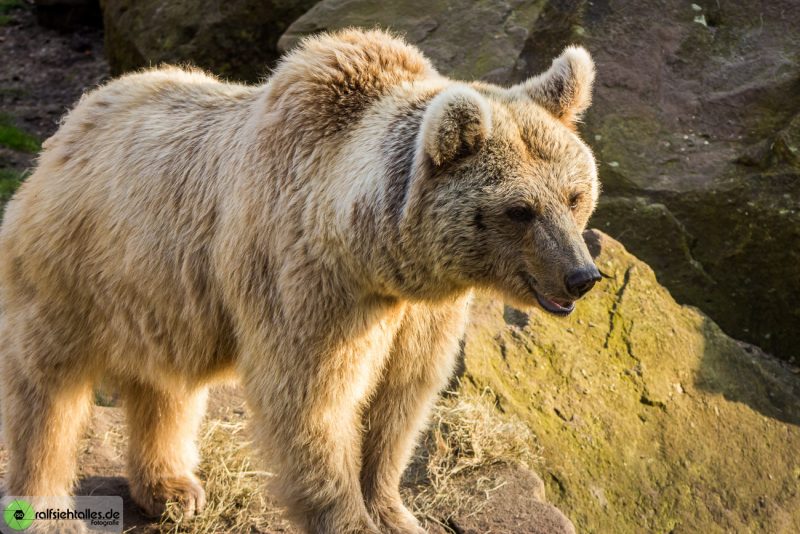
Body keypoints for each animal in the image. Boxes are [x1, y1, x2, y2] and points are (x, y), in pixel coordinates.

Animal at [0, 30, 600, 534]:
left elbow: (400, 401)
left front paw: (394, 511)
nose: (582, 276)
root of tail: (79, 115)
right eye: (520, 210)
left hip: (160, 291)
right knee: (47, 386)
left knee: (165, 382)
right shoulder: (308, 284)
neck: (372, 252)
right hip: (75, 266)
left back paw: (173, 488)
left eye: (574, 195)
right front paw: (352, 519)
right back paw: (47, 505)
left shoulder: (418, 313)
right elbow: (311, 405)